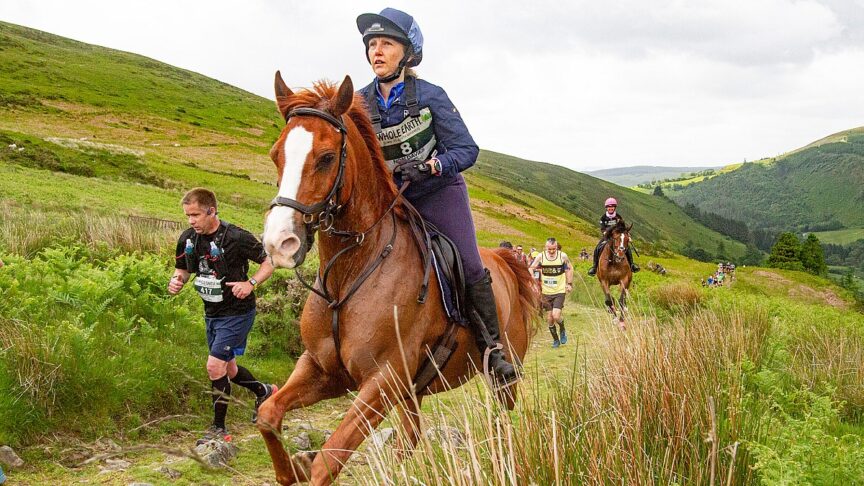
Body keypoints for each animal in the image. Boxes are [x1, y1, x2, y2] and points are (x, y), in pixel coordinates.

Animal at [258, 73, 540, 486]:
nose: (279, 242)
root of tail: (505, 261)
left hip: (503, 377)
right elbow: (267, 414)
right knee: (408, 441)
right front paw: (292, 467)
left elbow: (328, 461)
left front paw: (307, 464)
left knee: (501, 422)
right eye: (277, 154)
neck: (349, 275)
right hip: (412, 391)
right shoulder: (323, 371)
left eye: (326, 158)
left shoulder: (382, 381)